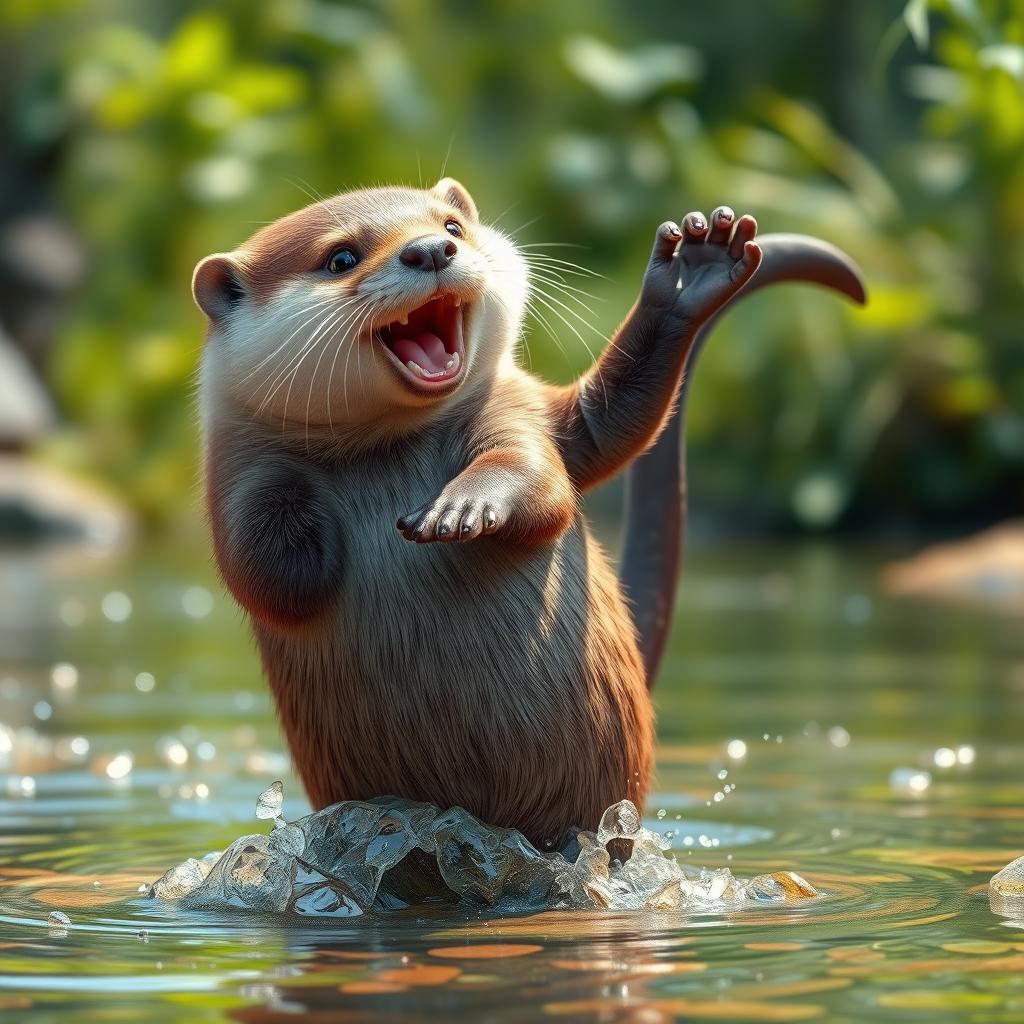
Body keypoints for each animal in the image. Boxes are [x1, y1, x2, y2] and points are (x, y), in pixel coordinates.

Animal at [193, 179, 865, 849]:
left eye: (452, 226)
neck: (387, 449)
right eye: (340, 259)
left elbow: (563, 456)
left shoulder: (519, 411)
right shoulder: (239, 473)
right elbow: (261, 574)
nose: (430, 250)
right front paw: (317, 535)